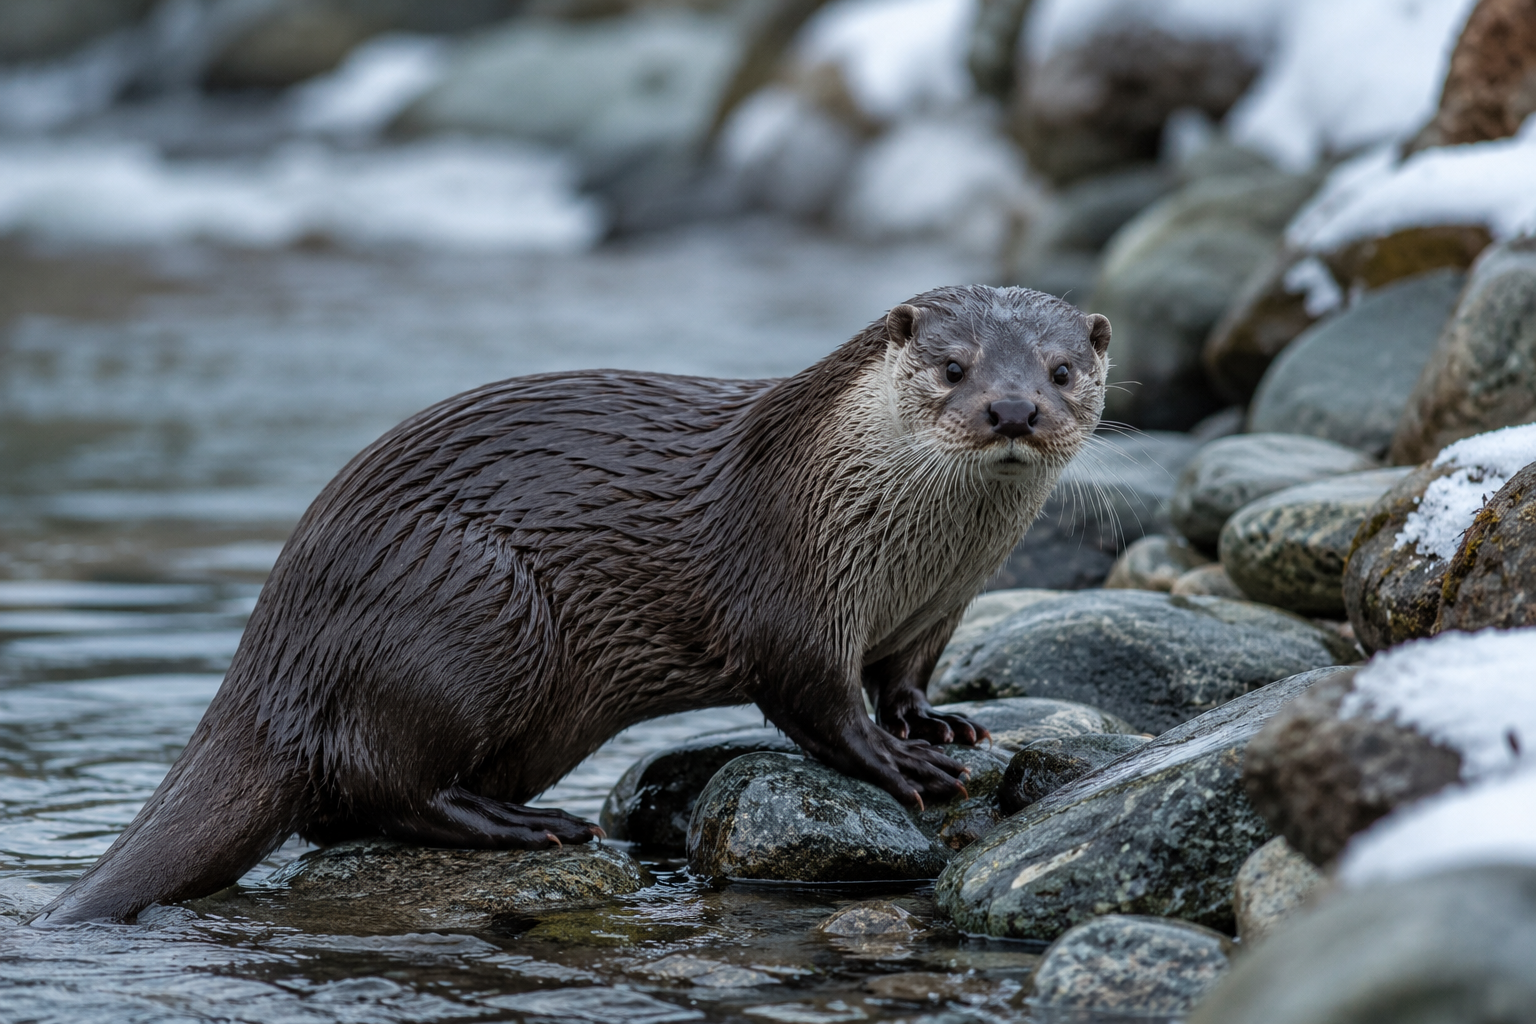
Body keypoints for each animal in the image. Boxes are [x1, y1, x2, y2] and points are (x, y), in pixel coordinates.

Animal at [33, 284, 1111, 925]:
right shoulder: (794, 591)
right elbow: (817, 702)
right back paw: (524, 825)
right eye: (954, 366)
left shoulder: (935, 609)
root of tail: (272, 653)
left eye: (1063, 371)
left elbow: (903, 680)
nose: (1014, 409)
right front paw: (899, 763)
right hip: (469, 607)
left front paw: (942, 723)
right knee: (382, 785)